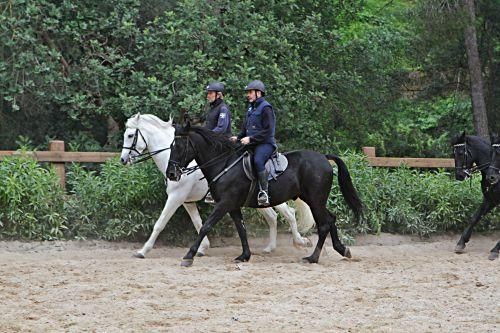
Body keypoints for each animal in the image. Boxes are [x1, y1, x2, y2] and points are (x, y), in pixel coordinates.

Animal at [119, 112, 312, 256]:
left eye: (130, 135)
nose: (123, 160)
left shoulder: (176, 197)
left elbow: (160, 223)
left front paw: (143, 251)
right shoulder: (187, 201)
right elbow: (198, 223)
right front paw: (202, 248)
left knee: (289, 213)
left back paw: (300, 241)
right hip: (255, 199)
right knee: (272, 216)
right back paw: (270, 247)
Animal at [168, 123, 364, 266]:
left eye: (179, 146)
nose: (171, 174)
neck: (224, 163)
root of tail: (323, 157)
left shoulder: (224, 203)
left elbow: (205, 226)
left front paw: (188, 256)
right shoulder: (233, 206)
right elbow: (241, 230)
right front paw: (244, 256)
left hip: (316, 200)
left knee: (324, 224)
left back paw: (313, 258)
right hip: (314, 200)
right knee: (330, 220)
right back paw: (342, 250)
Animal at [452, 132, 498, 260]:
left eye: (461, 153)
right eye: (453, 154)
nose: (459, 175)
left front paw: (495, 250)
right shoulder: (490, 200)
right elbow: (474, 217)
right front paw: (461, 243)